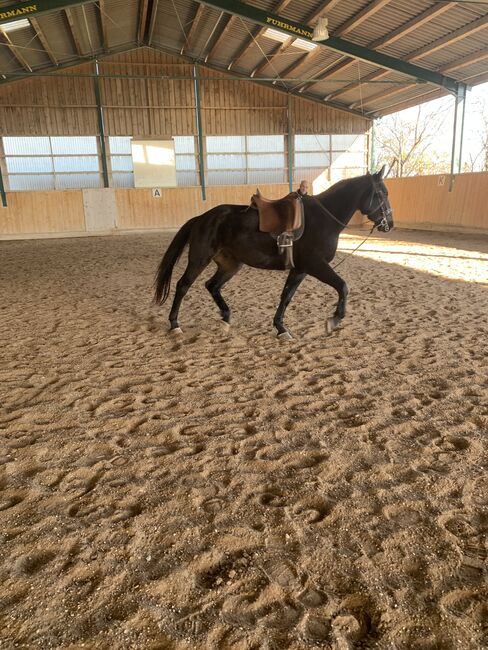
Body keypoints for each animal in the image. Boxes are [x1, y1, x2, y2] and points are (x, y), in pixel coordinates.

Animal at [154, 167, 394, 336]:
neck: (323, 219)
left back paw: (226, 318)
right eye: (381, 194)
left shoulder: (300, 269)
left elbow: (286, 296)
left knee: (212, 286)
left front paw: (281, 328)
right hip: (199, 259)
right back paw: (175, 324)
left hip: (230, 264)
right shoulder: (316, 265)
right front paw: (334, 320)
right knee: (183, 285)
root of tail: (202, 218)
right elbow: (343, 287)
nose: (389, 224)